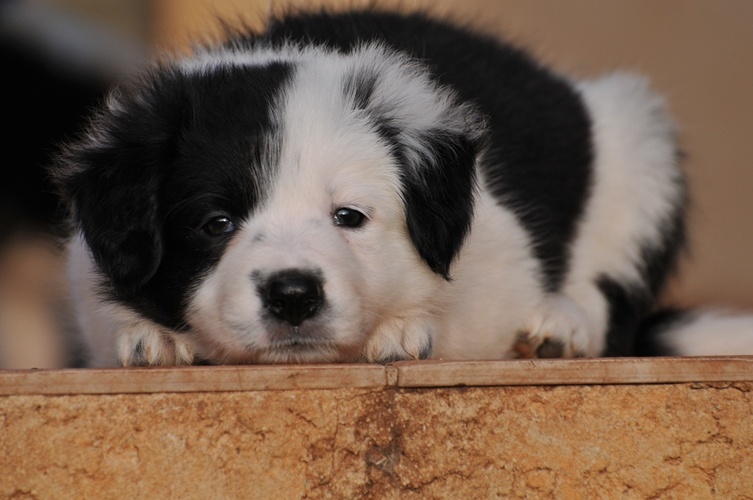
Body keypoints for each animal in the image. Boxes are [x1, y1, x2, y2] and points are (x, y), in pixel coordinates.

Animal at [54, 8, 752, 368]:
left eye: (349, 217)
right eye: (216, 224)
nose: (293, 295)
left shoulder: (503, 259)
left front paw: (406, 330)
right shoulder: (85, 264)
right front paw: (151, 334)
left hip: (638, 144)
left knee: (611, 302)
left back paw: (561, 324)